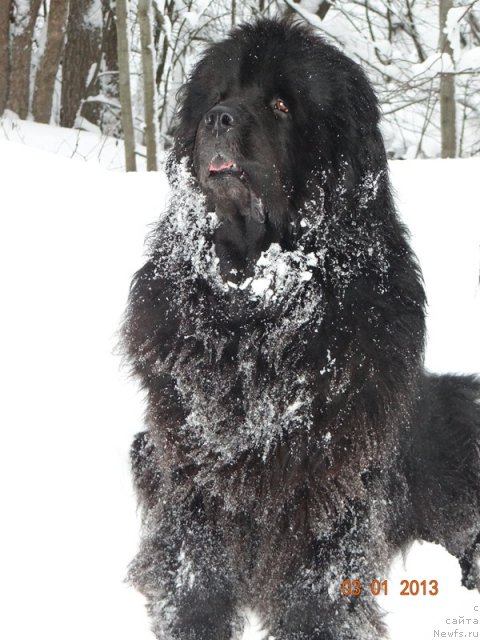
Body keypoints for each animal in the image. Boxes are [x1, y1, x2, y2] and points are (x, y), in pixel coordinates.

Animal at [123, 17, 480, 636]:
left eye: (283, 104)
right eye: (218, 96)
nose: (219, 119)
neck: (257, 308)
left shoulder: (330, 469)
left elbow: (318, 573)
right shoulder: (189, 461)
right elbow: (194, 563)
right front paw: (193, 621)